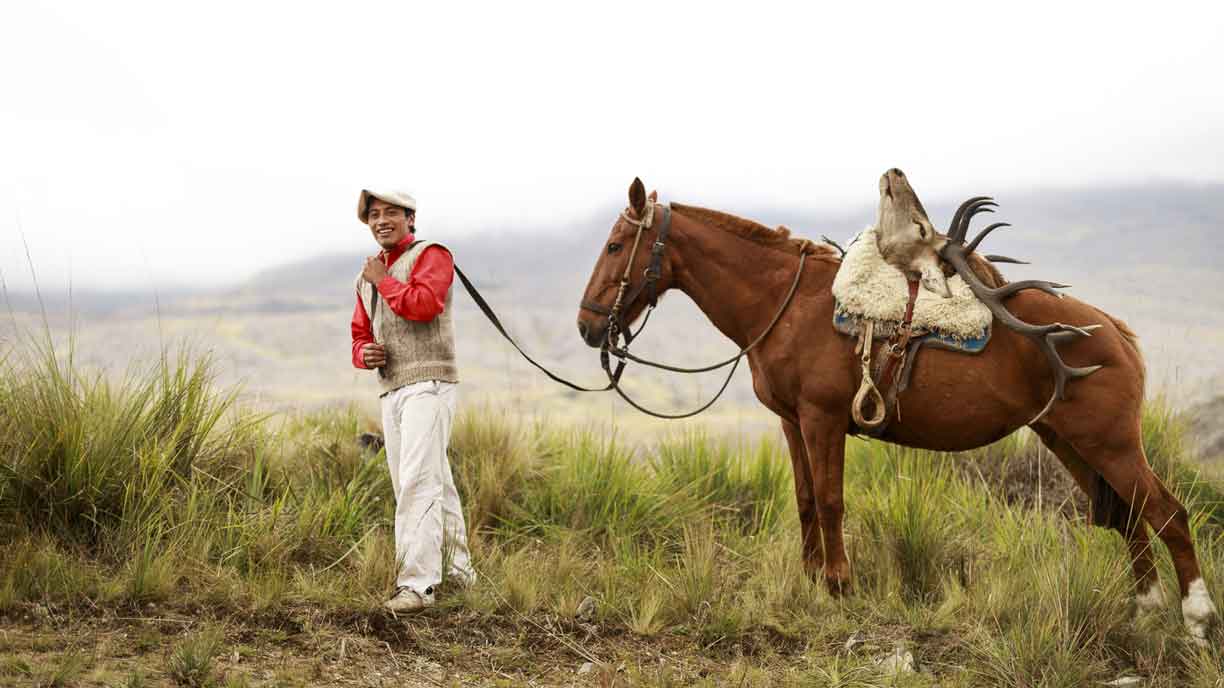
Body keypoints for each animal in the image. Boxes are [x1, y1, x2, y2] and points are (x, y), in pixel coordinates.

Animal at [575, 177, 1219, 643]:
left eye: (614, 246)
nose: (587, 326)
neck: (786, 300)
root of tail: (1114, 329)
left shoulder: (822, 419)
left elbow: (830, 501)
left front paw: (839, 585)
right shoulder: (791, 421)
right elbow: (805, 501)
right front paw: (811, 581)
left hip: (1110, 441)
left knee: (1167, 513)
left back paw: (1196, 618)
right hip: (1069, 442)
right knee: (1130, 517)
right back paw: (1143, 612)